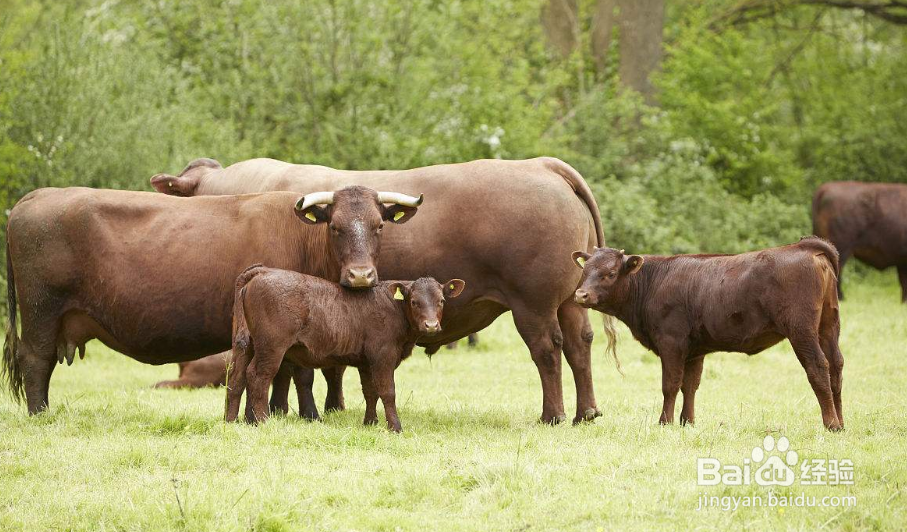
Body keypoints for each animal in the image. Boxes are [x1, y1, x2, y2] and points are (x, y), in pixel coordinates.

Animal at [1, 187, 422, 416]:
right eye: (335, 226)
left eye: (378, 226)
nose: (361, 275)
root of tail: (37, 196)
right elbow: (296, 373)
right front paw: (303, 414)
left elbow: (284, 374)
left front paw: (279, 412)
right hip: (41, 312)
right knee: (35, 362)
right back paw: (41, 414)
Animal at [227, 264, 468, 430]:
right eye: (414, 302)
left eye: (441, 301)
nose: (431, 325)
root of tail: (262, 271)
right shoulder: (383, 356)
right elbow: (387, 391)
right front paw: (395, 427)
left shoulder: (366, 362)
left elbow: (370, 392)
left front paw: (370, 422)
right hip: (271, 347)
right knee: (258, 376)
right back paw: (262, 421)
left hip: (246, 346)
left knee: (237, 378)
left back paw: (232, 421)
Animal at [576, 238, 844, 432]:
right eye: (585, 270)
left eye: (610, 273)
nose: (581, 294)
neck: (653, 282)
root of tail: (803, 246)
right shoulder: (695, 350)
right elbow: (690, 385)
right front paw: (687, 421)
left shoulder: (671, 342)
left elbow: (670, 385)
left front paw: (665, 422)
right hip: (829, 326)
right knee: (836, 367)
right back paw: (841, 423)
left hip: (801, 330)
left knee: (818, 366)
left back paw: (830, 424)